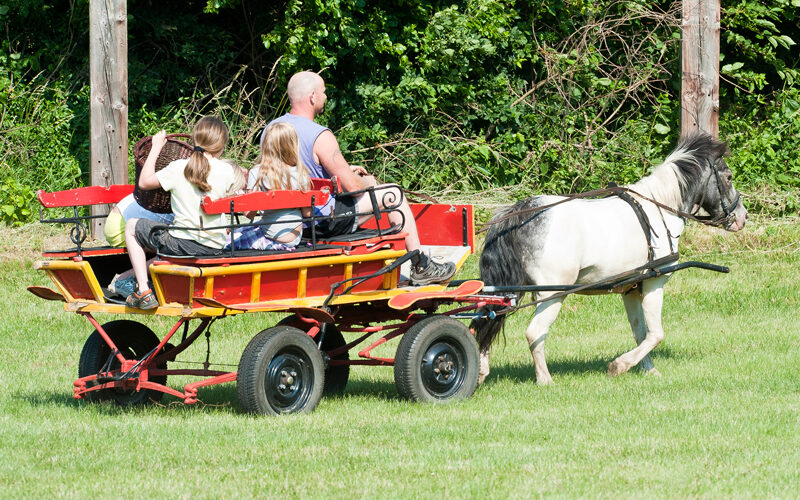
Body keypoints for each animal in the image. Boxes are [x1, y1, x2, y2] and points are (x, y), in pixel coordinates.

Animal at [470, 133, 748, 385]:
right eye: (729, 177)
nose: (742, 217)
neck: (659, 209)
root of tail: (519, 211)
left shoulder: (631, 289)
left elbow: (640, 333)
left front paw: (647, 370)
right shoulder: (654, 283)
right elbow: (656, 334)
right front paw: (620, 365)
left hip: (507, 291)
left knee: (485, 318)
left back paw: (481, 372)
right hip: (552, 294)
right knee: (534, 332)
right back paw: (545, 380)